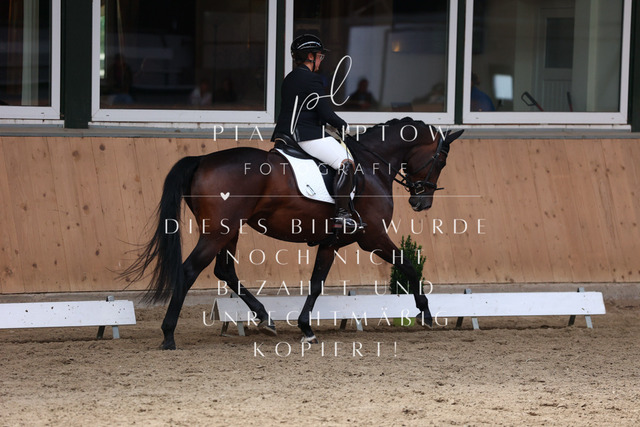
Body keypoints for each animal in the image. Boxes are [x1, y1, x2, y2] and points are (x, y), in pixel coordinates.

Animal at [121, 118, 463, 349]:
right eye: (442, 160)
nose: (422, 202)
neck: (370, 165)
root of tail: (203, 160)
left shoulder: (330, 242)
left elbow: (316, 282)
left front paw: (306, 328)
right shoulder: (373, 237)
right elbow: (409, 264)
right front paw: (425, 313)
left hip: (229, 230)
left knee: (225, 270)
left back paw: (265, 318)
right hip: (218, 231)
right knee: (190, 269)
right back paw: (168, 334)